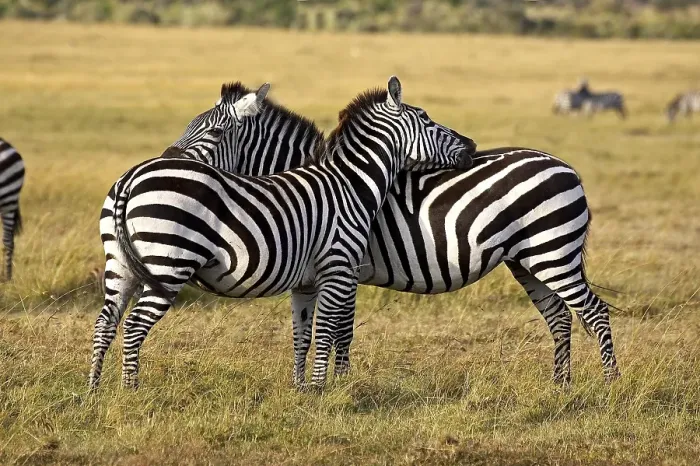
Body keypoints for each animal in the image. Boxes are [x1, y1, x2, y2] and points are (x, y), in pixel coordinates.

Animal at [89, 77, 476, 391]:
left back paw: (94, 391)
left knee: (106, 322)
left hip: (120, 264)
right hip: (168, 265)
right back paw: (131, 390)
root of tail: (130, 179)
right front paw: (323, 390)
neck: (350, 184)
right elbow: (331, 331)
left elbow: (302, 334)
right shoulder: (338, 269)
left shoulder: (307, 281)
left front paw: (302, 389)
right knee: (134, 325)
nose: (471, 146)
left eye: (211, 131)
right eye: (426, 119)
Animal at [137, 81, 619, 386]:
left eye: (214, 130)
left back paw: (610, 385)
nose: (166, 163)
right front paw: (327, 383)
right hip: (529, 259)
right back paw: (561, 385)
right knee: (560, 316)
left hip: (553, 251)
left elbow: (341, 330)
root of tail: (565, 166)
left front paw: (337, 384)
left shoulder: (345, 269)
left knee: (593, 312)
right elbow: (323, 330)